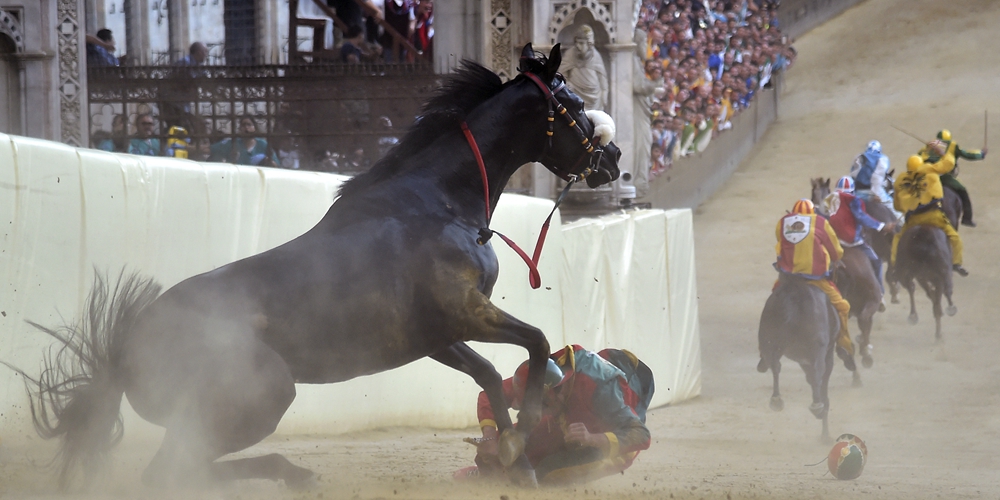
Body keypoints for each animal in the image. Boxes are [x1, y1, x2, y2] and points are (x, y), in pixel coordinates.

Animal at [7, 45, 616, 490]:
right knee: (171, 473)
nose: (612, 161)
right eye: (575, 102)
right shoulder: (467, 311)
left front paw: (516, 460)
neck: (436, 205)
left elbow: (490, 374)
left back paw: (292, 472)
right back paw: (290, 473)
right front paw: (524, 442)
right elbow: (537, 344)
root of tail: (126, 350)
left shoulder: (437, 335)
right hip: (263, 396)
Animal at [760, 272, 840, 440]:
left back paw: (776, 400)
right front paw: (825, 433)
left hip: (768, 339)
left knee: (775, 365)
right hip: (818, 347)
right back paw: (817, 408)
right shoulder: (826, 353)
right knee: (817, 374)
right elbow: (822, 383)